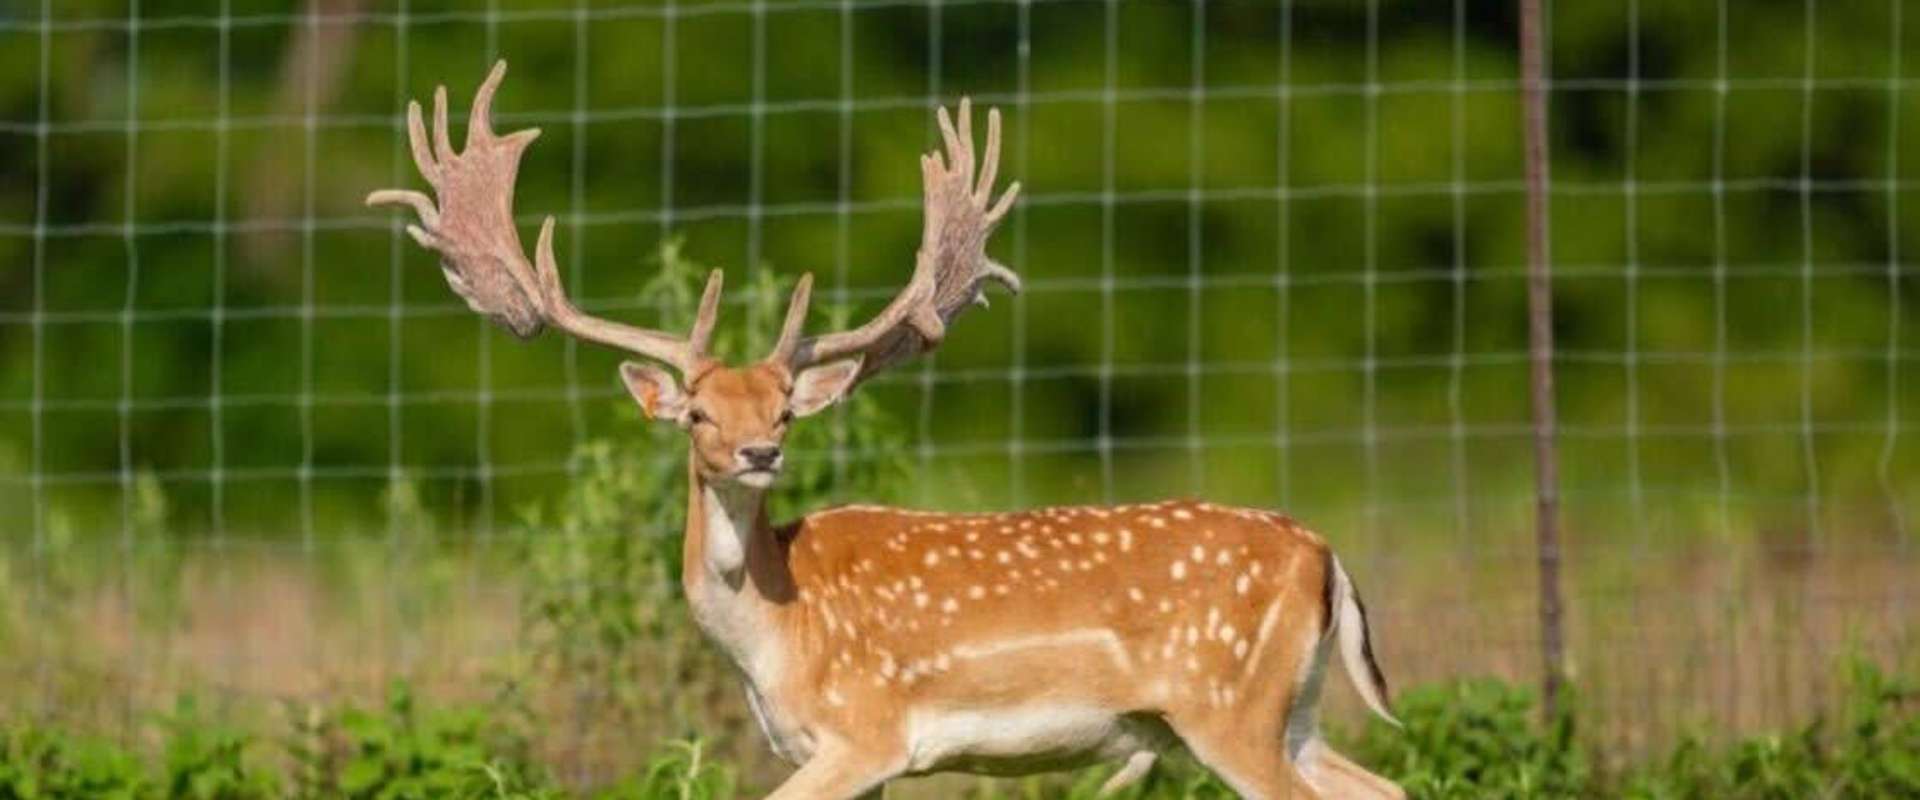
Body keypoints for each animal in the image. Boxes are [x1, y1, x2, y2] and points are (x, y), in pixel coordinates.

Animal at [366, 59, 1405, 794]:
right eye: (698, 410)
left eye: (784, 407)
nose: (761, 451)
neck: (775, 638)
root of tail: (1326, 556)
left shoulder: (867, 733)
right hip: (1290, 710)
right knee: (1383, 787)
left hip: (1227, 706)